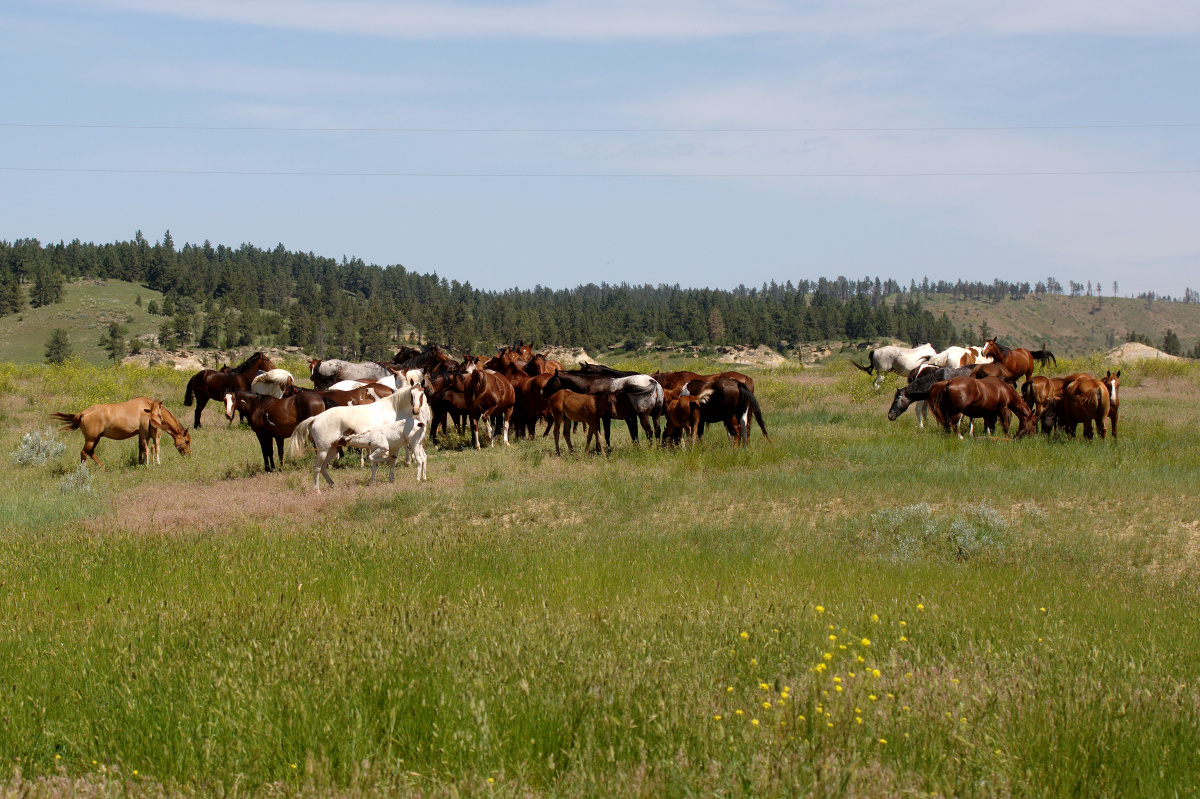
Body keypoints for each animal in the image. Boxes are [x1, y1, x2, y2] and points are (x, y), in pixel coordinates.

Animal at [50, 395, 192, 463]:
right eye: (187, 441)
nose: (189, 455)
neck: (150, 408)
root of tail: (82, 414)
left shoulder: (140, 434)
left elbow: (141, 448)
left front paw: (140, 461)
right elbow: (143, 448)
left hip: (96, 439)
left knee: (90, 452)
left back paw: (103, 467)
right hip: (91, 439)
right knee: (84, 453)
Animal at [286, 383, 427, 489]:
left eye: (422, 394)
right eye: (411, 395)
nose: (416, 410)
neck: (393, 410)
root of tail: (315, 418)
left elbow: (383, 462)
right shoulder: (391, 445)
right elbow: (391, 461)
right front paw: (390, 479)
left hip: (333, 449)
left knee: (323, 467)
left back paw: (331, 484)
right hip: (323, 450)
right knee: (316, 467)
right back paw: (317, 490)